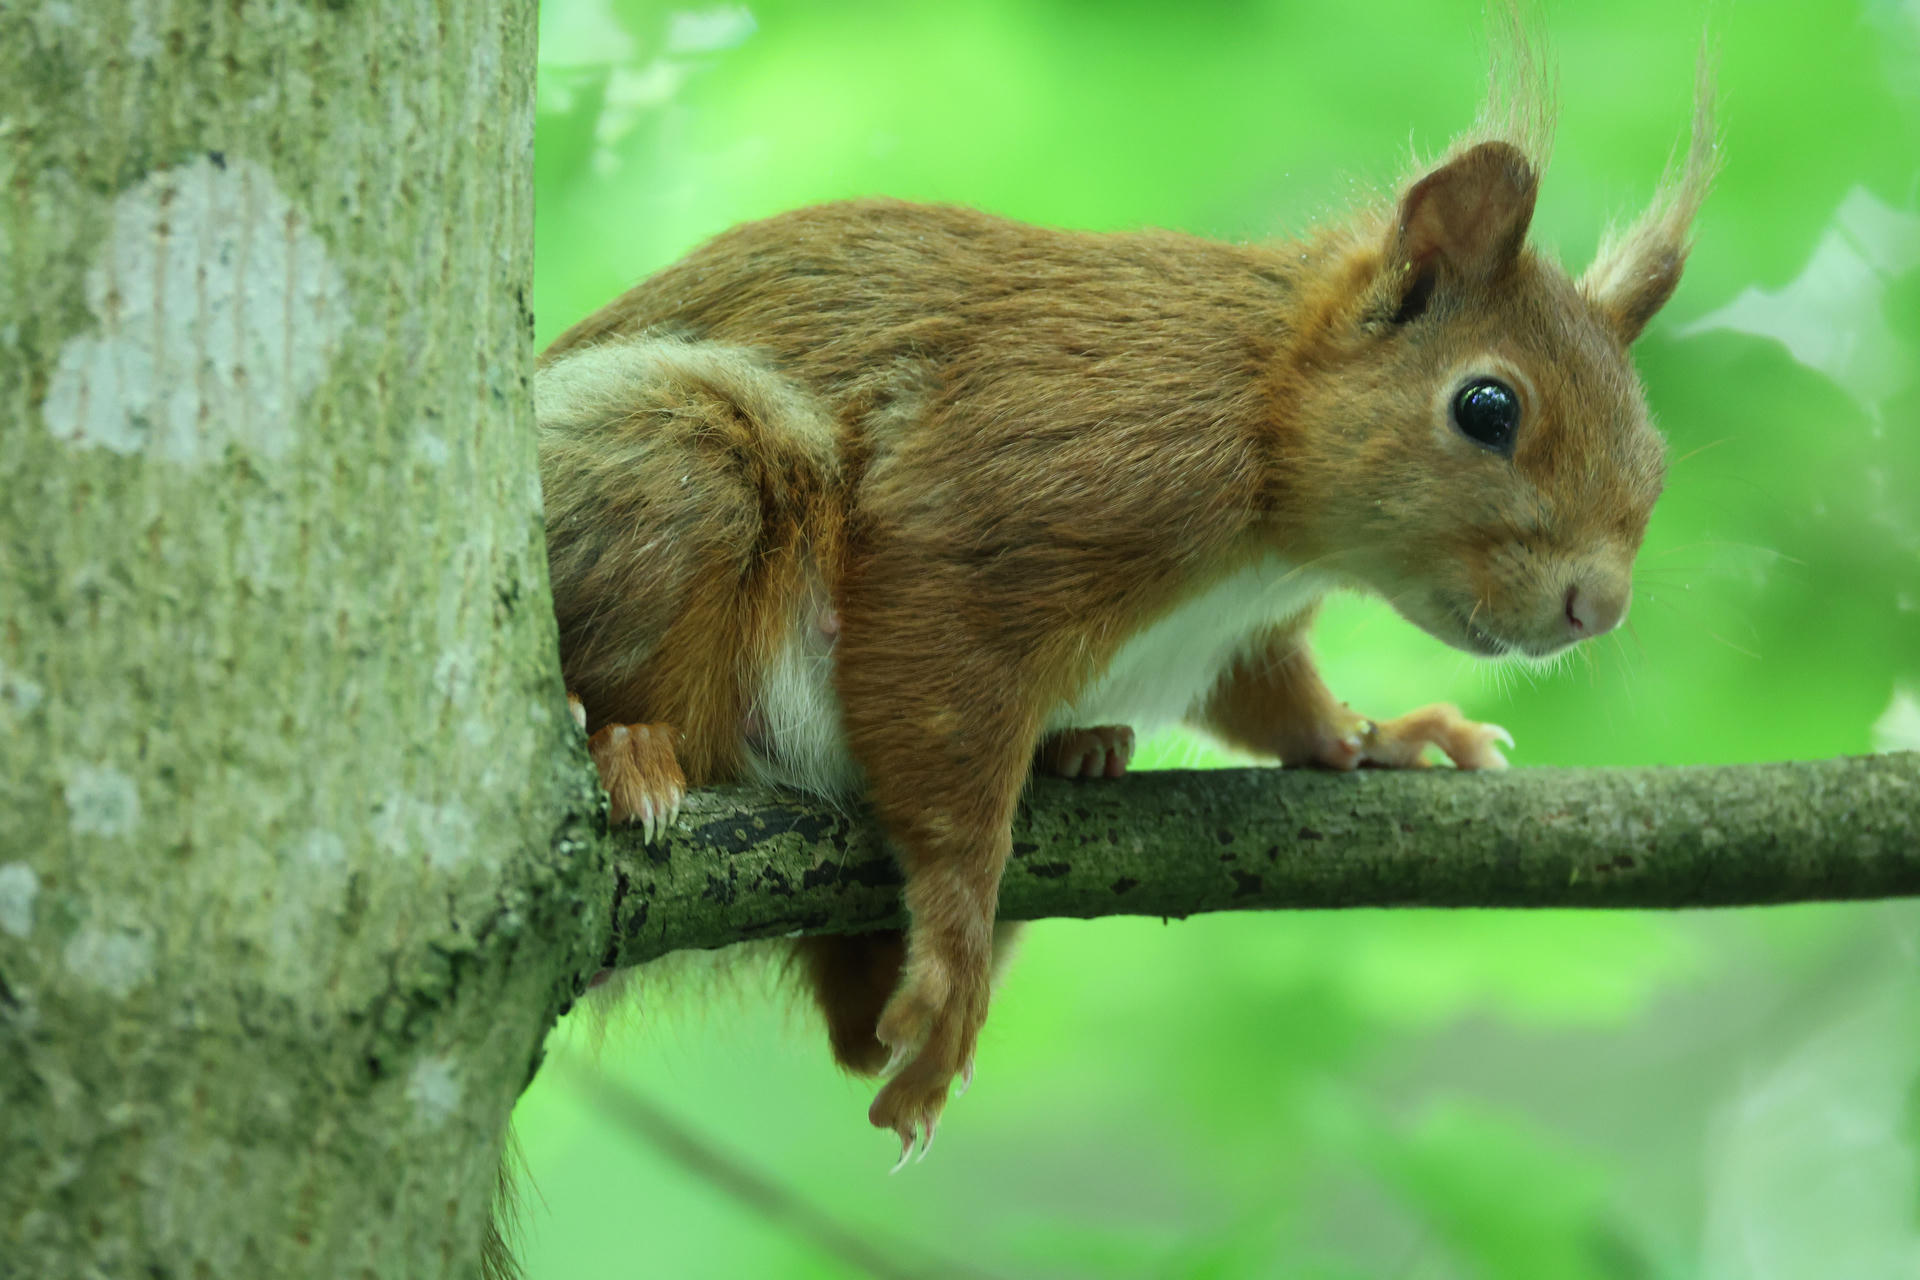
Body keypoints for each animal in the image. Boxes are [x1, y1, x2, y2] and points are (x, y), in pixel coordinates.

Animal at [532, 45, 1716, 1166]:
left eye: (1658, 456)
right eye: (1487, 407)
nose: (1597, 605)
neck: (1274, 526)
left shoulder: (1239, 636)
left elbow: (1281, 703)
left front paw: (1383, 736)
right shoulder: (1034, 487)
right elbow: (940, 712)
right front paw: (958, 941)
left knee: (849, 1025)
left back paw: (1075, 753)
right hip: (674, 457)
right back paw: (628, 748)